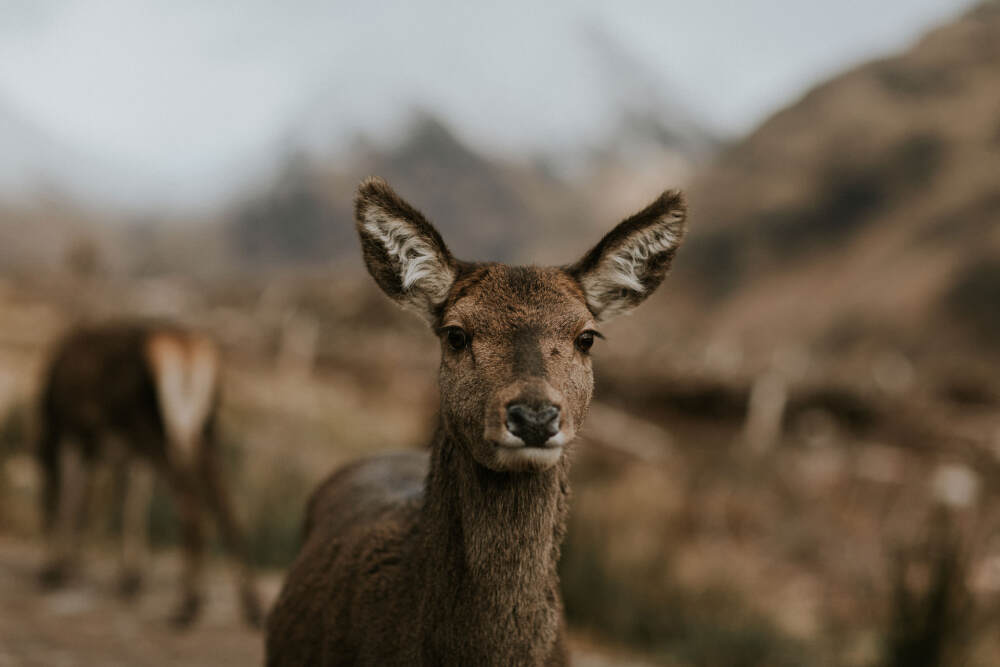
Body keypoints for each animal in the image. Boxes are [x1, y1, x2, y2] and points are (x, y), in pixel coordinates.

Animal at [36, 320, 262, 628]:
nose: (44, 572)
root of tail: (189, 353)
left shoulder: (80, 436)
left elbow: (76, 502)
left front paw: (62, 570)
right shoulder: (122, 454)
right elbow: (128, 502)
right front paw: (129, 578)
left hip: (156, 431)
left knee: (191, 502)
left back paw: (188, 605)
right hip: (204, 431)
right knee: (224, 503)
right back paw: (251, 605)